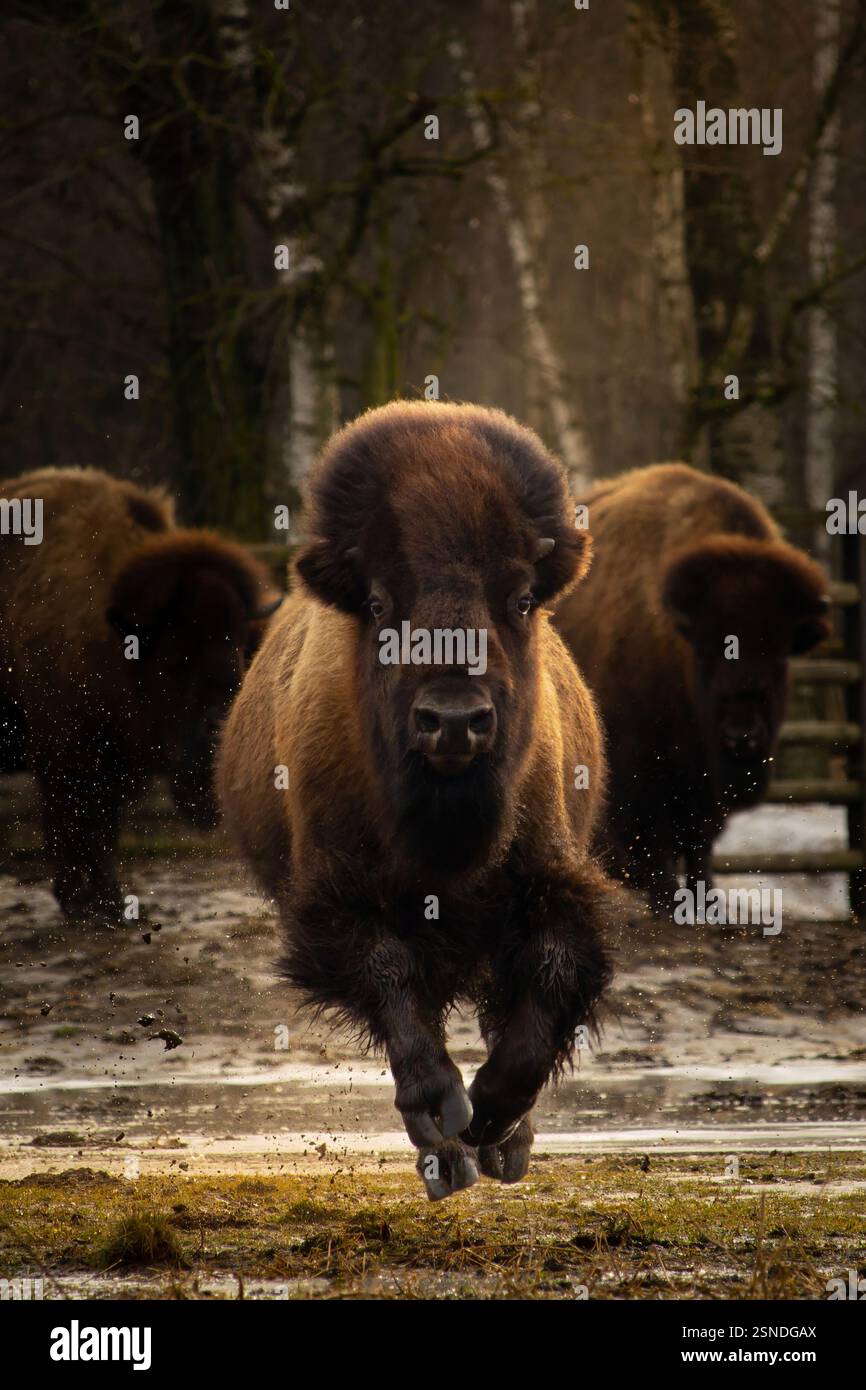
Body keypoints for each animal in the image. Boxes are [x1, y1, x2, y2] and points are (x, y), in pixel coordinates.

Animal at [218, 401, 616, 1198]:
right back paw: (448, 1159)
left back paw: (501, 1149)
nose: (454, 720)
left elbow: (550, 979)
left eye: (522, 598)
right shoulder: (339, 905)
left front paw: (493, 1117)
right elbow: (392, 986)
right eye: (377, 602)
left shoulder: (552, 882)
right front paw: (447, 1119)